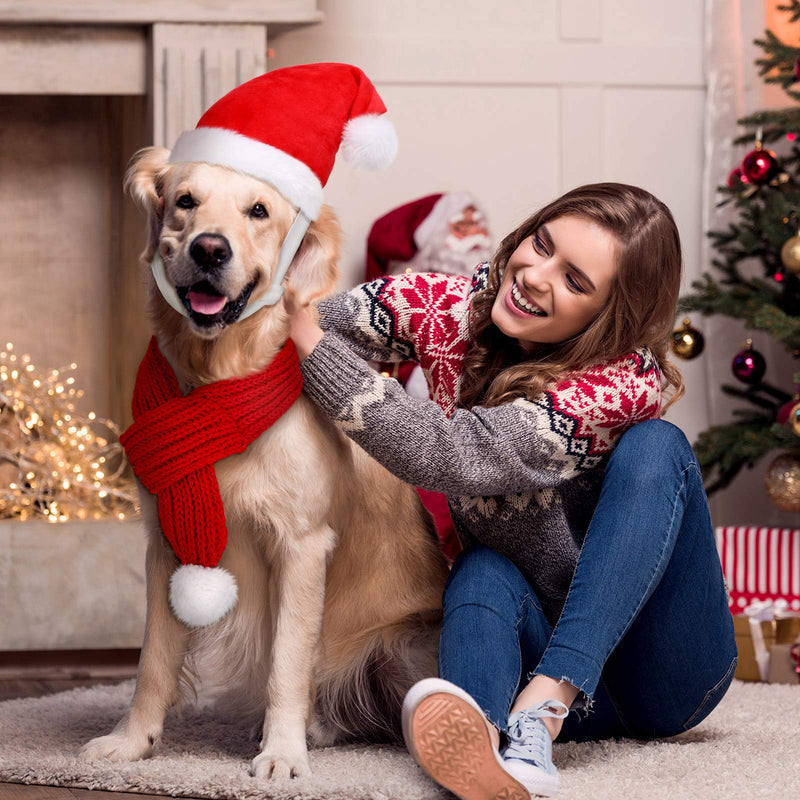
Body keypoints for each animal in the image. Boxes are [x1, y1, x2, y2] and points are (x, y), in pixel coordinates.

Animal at [80, 147, 450, 780]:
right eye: (185, 201)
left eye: (258, 210)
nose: (210, 249)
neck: (220, 381)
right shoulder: (168, 541)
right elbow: (153, 660)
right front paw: (131, 742)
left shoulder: (301, 546)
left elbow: (287, 664)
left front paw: (281, 753)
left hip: (407, 646)